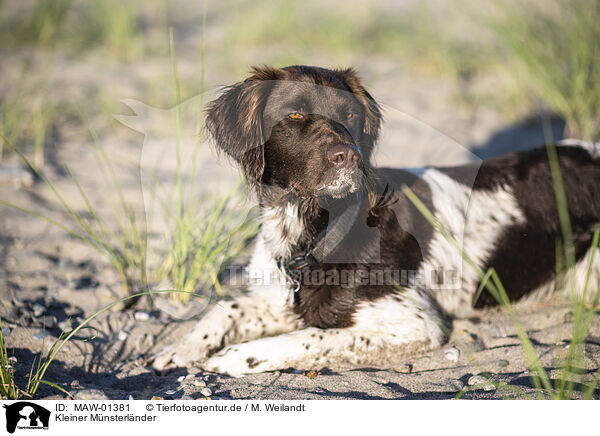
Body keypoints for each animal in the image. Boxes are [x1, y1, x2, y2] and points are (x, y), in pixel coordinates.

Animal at [152, 64, 600, 374]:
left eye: (350, 116)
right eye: (295, 115)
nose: (347, 155)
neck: (311, 226)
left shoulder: (416, 321)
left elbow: (313, 336)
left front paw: (234, 357)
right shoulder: (280, 296)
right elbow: (225, 307)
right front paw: (178, 349)